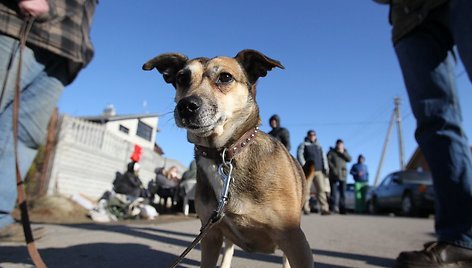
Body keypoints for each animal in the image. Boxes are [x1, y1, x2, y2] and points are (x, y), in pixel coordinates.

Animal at [144, 49, 314, 266]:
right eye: (182, 78)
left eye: (225, 77)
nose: (186, 106)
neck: (223, 153)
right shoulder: (210, 235)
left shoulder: (294, 239)